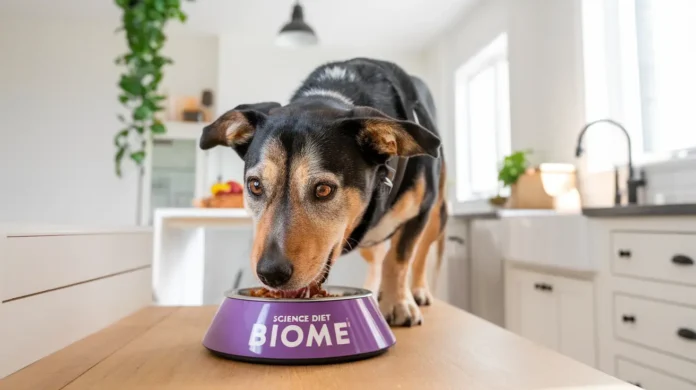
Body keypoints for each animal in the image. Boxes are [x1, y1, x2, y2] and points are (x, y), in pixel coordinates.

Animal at [200, 58, 446, 326]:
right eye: (255, 185)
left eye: (323, 189)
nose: (271, 274)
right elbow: (389, 259)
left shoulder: (421, 212)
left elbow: (400, 258)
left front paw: (399, 304)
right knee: (378, 257)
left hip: (437, 217)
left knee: (420, 254)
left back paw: (418, 291)